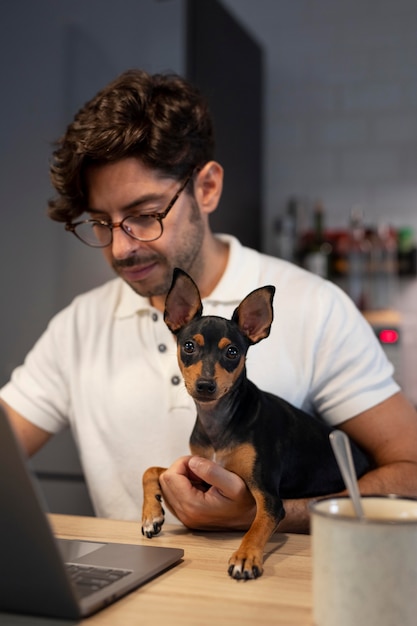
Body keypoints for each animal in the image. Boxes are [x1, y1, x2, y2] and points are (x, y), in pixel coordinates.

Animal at [141, 266, 368, 576]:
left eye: (232, 352)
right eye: (188, 346)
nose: (205, 385)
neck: (220, 421)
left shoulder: (268, 496)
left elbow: (258, 525)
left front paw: (246, 556)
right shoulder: (202, 470)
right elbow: (151, 469)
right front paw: (151, 515)